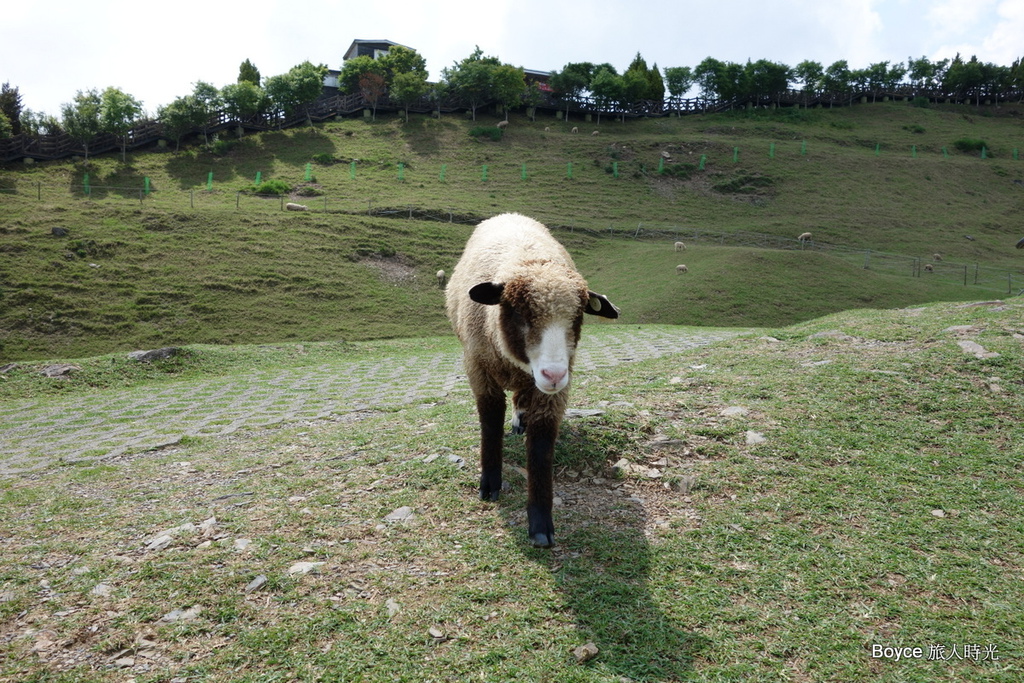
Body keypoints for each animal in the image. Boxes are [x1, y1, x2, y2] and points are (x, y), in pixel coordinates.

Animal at [446, 210, 618, 548]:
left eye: (578, 316)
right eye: (518, 311)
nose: (554, 374)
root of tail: (509, 214)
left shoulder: (553, 393)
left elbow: (540, 448)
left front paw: (540, 525)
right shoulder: (479, 370)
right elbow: (490, 424)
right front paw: (490, 483)